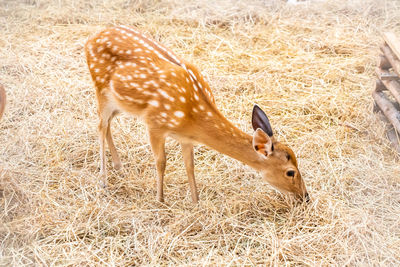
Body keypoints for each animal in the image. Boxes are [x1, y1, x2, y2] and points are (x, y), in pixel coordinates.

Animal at [85, 26, 310, 204]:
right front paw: (160, 200)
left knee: (108, 124)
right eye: (291, 171)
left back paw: (119, 167)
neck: (192, 118)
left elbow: (190, 166)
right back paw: (103, 180)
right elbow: (161, 162)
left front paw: (195, 201)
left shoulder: (186, 138)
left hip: (119, 103)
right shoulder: (155, 123)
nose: (305, 197)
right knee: (100, 126)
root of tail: (90, 39)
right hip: (100, 88)